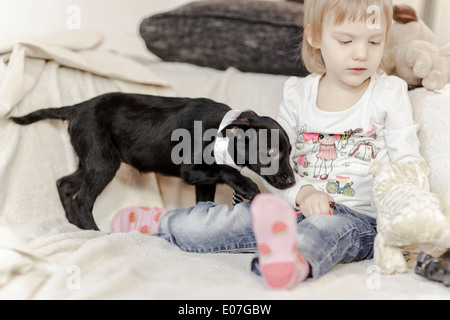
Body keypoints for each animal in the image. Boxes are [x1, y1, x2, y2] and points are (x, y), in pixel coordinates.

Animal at [11, 92, 296, 230]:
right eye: (270, 152)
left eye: (290, 151)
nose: (293, 182)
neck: (223, 133)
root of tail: (76, 108)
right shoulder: (191, 171)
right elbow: (226, 170)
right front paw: (247, 185)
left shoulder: (203, 182)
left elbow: (205, 200)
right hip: (103, 165)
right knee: (82, 199)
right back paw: (94, 231)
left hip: (92, 161)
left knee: (64, 184)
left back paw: (76, 225)